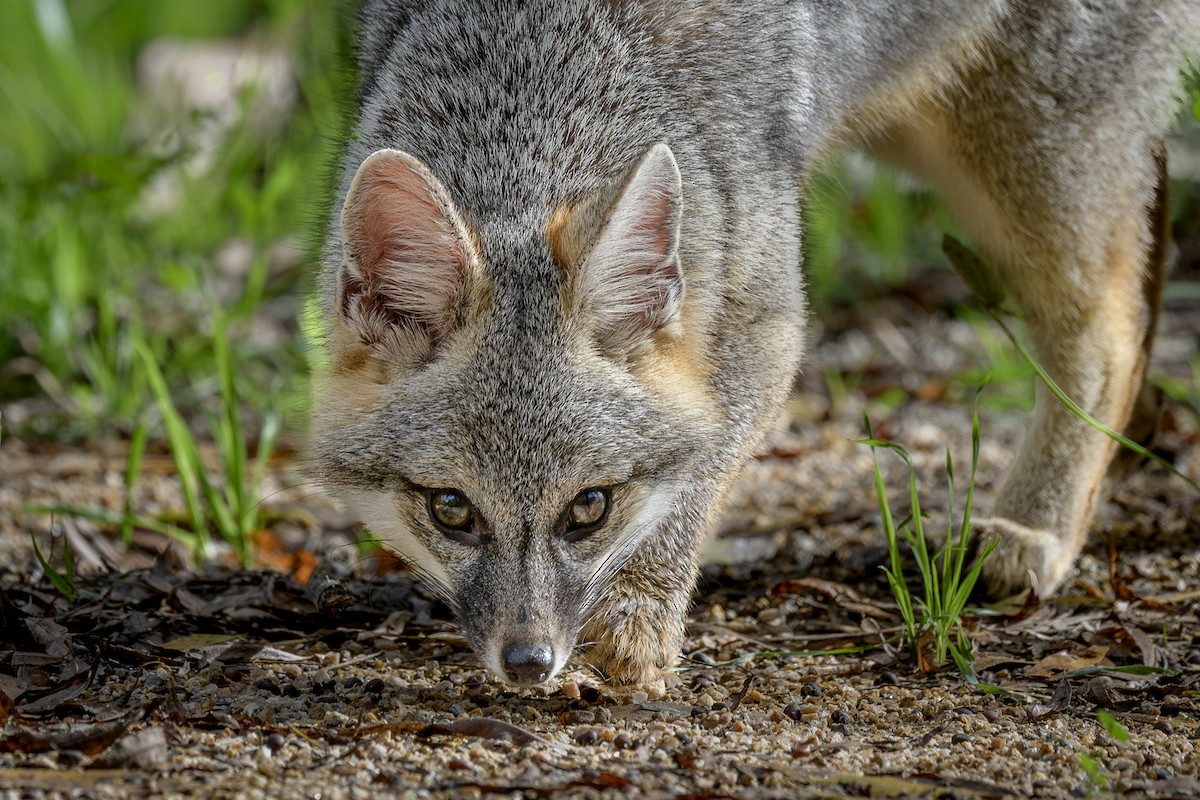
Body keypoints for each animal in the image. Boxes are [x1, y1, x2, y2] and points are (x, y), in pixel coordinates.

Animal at [312, 0, 1200, 687]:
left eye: (589, 509)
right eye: (451, 510)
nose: (530, 662)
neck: (534, 70)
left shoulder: (769, 321)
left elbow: (697, 473)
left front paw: (639, 617)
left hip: (1028, 158)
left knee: (1113, 331)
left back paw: (1037, 526)